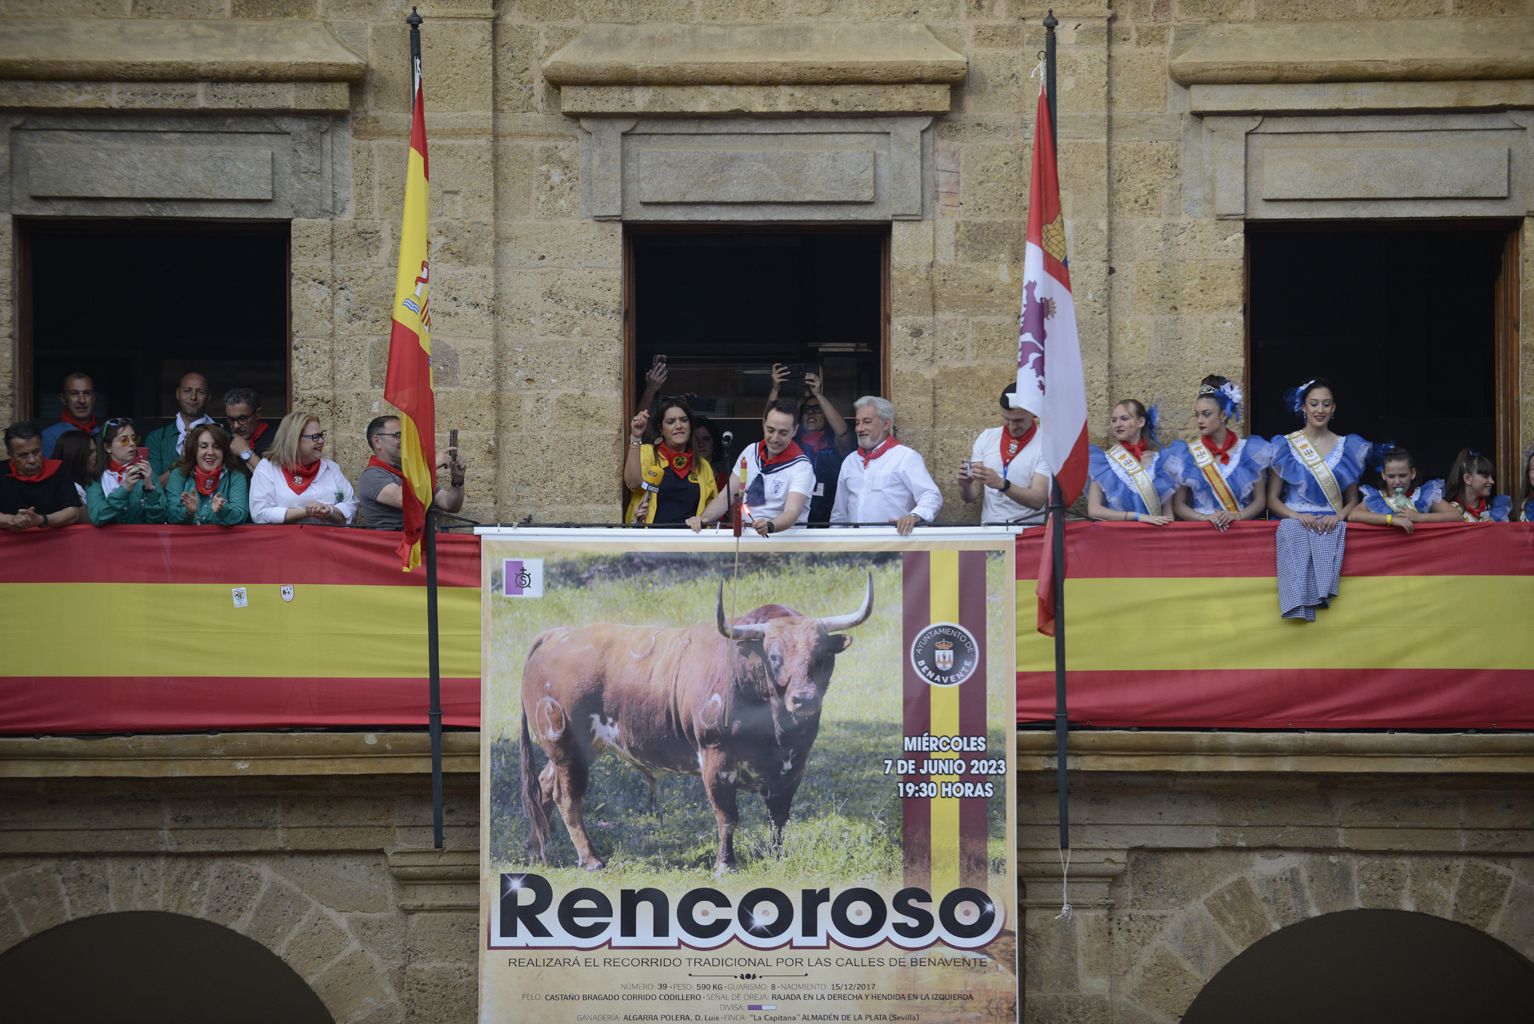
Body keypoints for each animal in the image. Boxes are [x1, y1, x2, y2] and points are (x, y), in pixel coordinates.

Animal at [518, 573, 871, 870]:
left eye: (822, 656)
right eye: (774, 656)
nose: (804, 698)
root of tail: (556, 634)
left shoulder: (792, 767)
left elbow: (779, 819)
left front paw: (778, 858)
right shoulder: (715, 762)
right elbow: (727, 818)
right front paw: (725, 864)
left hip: (582, 748)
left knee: (545, 786)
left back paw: (538, 851)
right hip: (565, 745)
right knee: (568, 798)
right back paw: (590, 859)